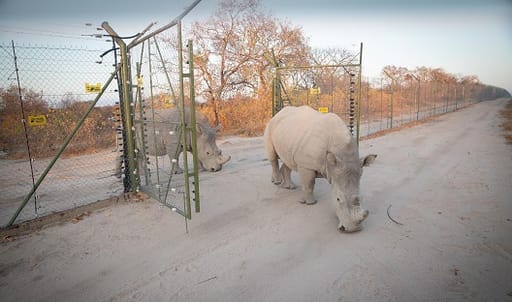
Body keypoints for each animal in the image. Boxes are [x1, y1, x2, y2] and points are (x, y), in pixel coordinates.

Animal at [264, 106, 376, 234]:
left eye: (360, 198)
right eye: (338, 199)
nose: (353, 230)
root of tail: (278, 113)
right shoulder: (306, 165)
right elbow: (308, 184)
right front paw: (310, 203)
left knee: (288, 160)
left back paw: (290, 187)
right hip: (271, 126)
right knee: (273, 155)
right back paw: (277, 182)